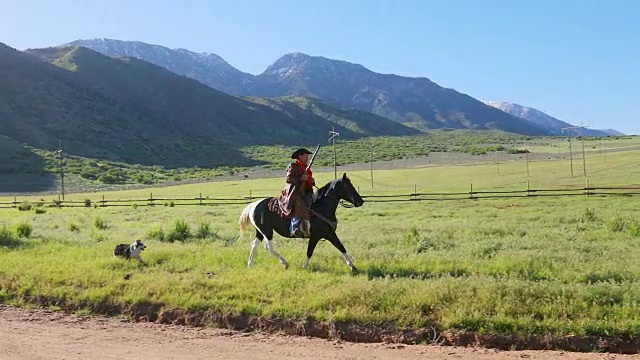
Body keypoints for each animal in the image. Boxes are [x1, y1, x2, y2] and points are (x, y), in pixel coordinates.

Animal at [236, 174, 364, 272]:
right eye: (348, 186)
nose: (360, 201)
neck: (321, 207)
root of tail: (254, 205)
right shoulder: (315, 236)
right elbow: (309, 252)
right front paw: (305, 266)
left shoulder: (330, 234)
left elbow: (342, 248)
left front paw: (353, 267)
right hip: (267, 231)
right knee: (268, 247)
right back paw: (285, 263)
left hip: (260, 231)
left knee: (254, 244)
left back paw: (250, 264)